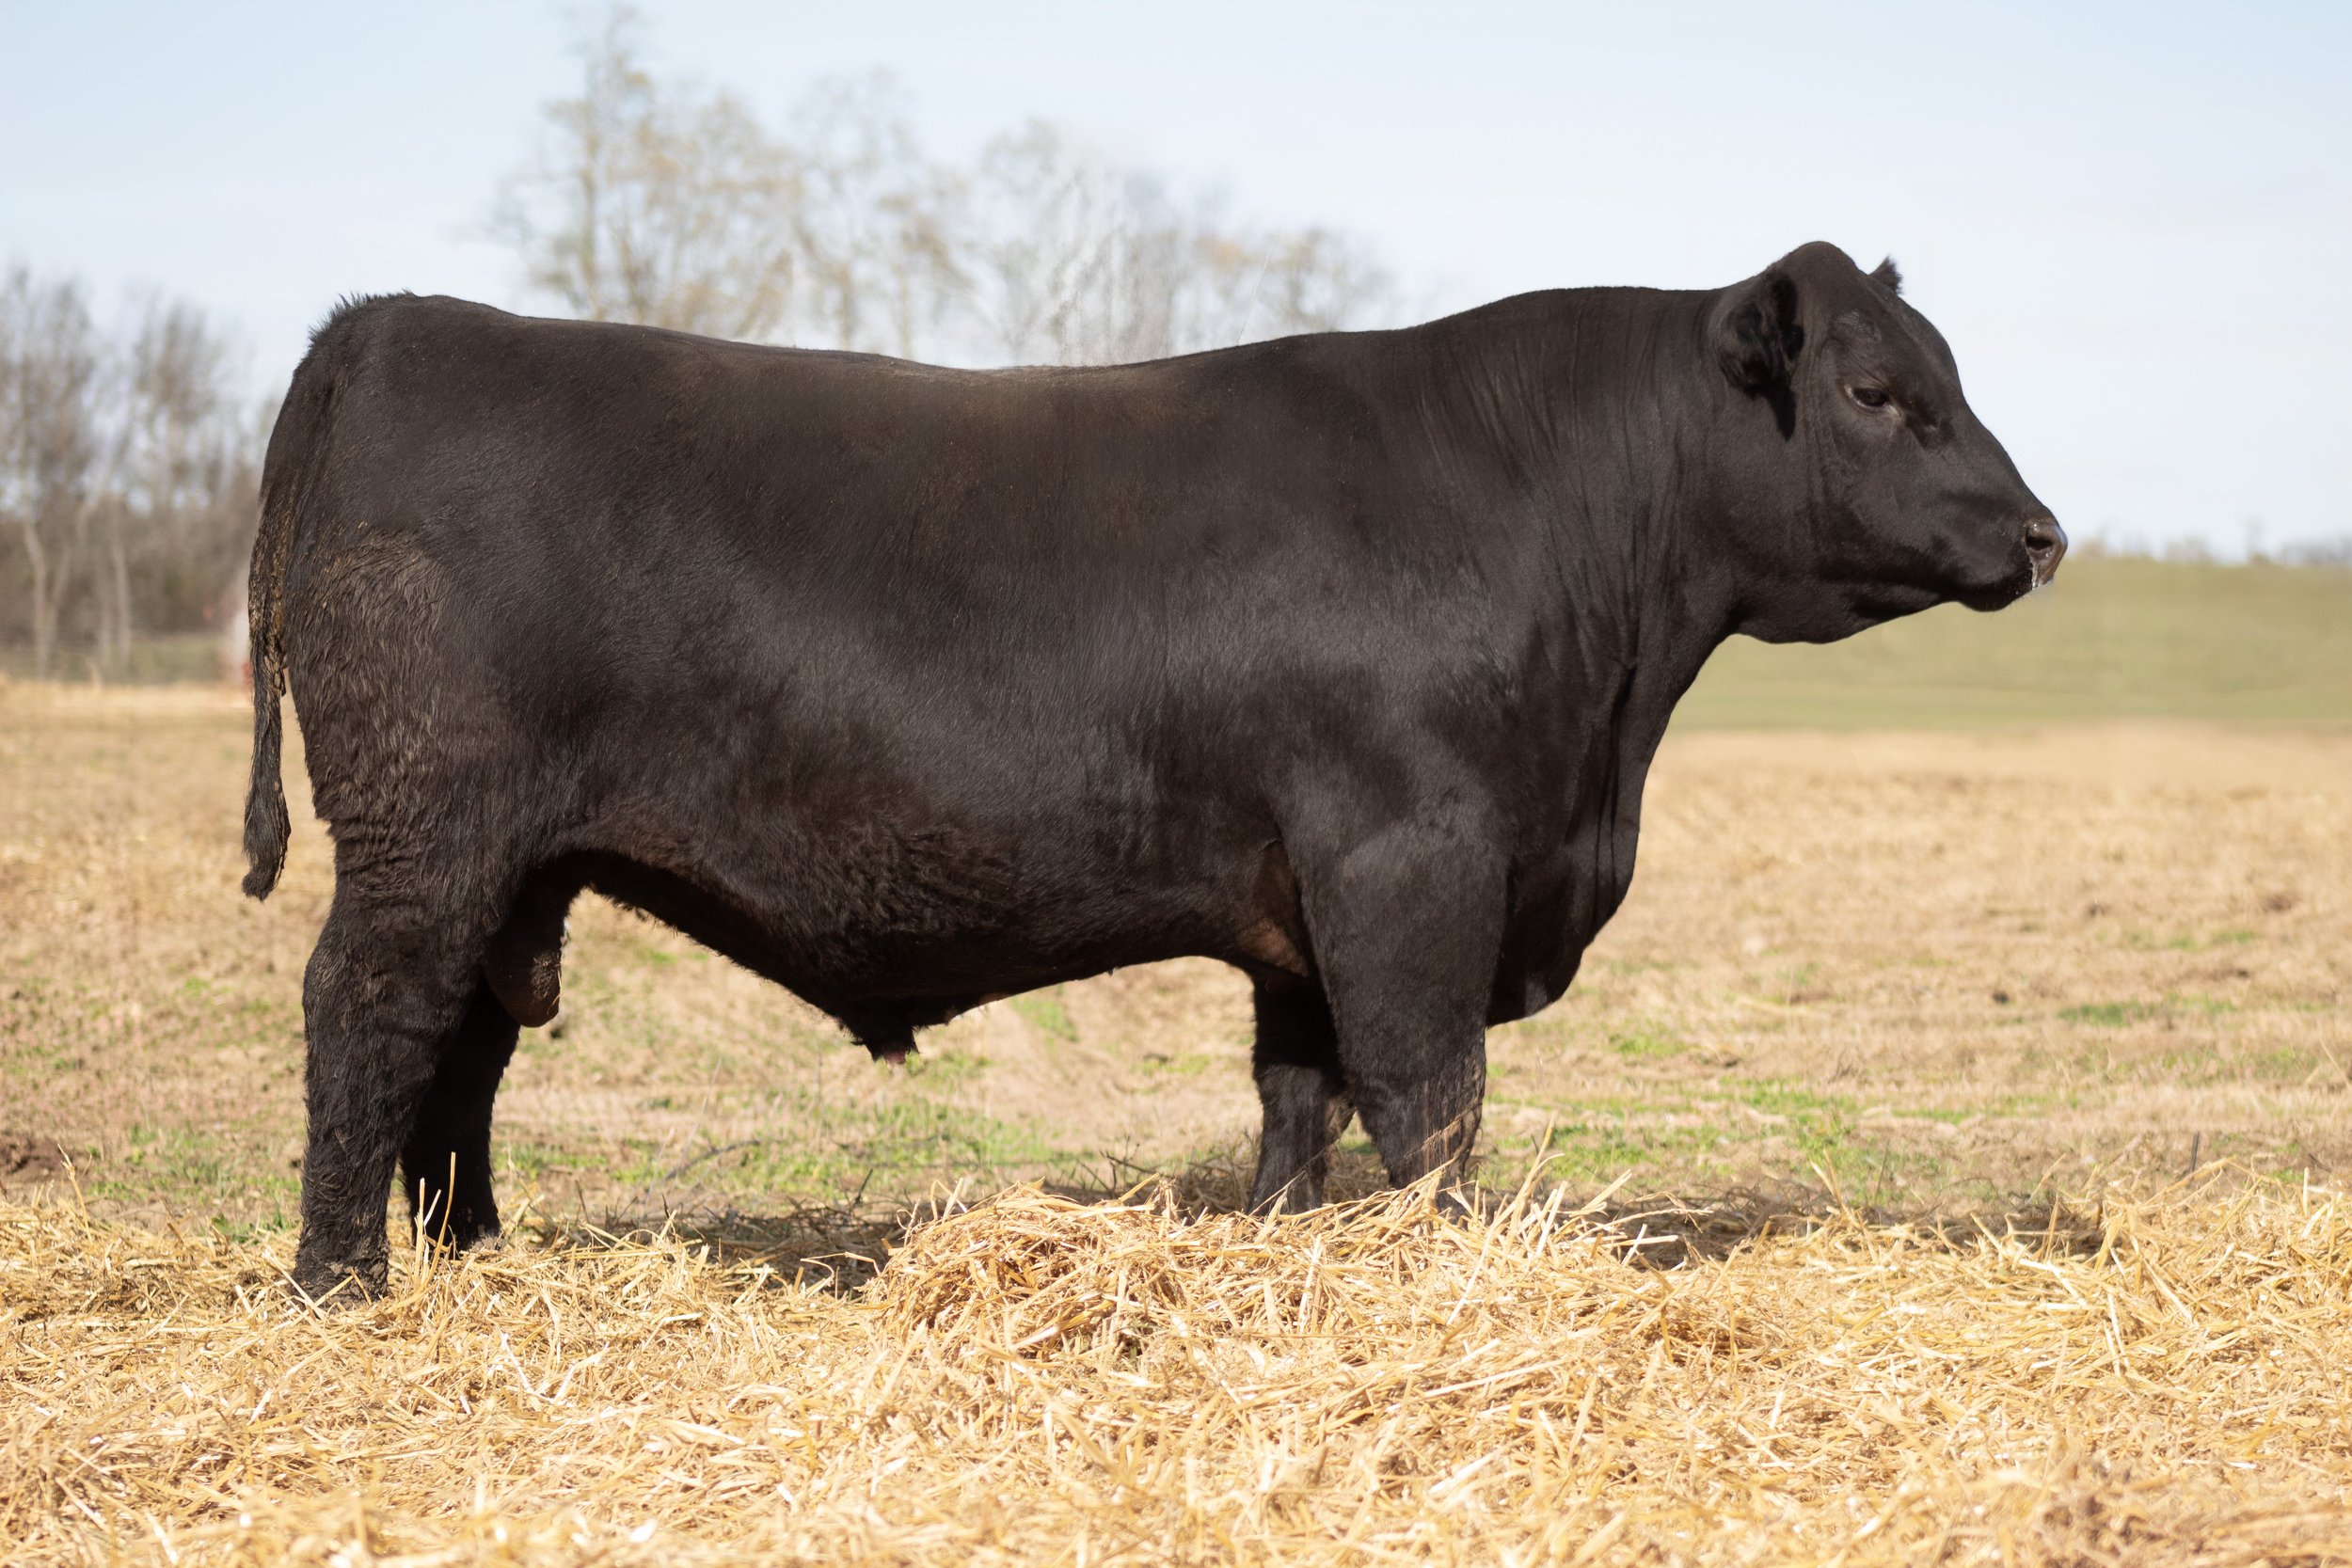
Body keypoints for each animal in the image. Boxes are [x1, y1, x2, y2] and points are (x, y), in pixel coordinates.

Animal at [242, 241, 2063, 1298]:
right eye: (1879, 390)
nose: (2044, 533)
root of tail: (387, 326)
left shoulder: (1307, 902)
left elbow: (1298, 1097)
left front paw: (1283, 1248)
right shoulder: (1412, 861)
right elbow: (1431, 1097)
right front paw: (1449, 1273)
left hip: (512, 865)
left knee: (465, 1046)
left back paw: (478, 1257)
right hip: (423, 832)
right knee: (369, 1011)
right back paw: (346, 1281)